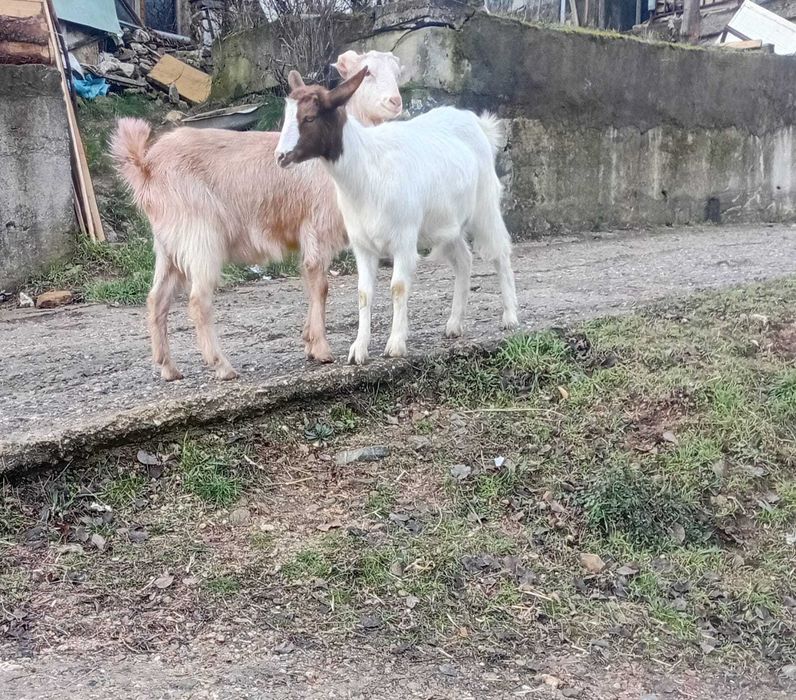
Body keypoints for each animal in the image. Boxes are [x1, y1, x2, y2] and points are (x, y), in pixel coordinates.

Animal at [111, 51, 403, 381]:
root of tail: (145, 165)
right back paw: (222, 366)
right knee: (198, 300)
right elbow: (320, 283)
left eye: (397, 72)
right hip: (200, 237)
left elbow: (310, 282)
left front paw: (308, 341)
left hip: (169, 245)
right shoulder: (316, 227)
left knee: (157, 298)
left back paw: (169, 368)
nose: (395, 101)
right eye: (366, 73)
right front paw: (322, 349)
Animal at [275, 69, 518, 365]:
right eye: (287, 115)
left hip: (484, 205)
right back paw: (454, 324)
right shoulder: (362, 245)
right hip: (443, 223)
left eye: (309, 117)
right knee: (464, 259)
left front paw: (395, 344)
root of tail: (478, 124)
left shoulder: (403, 238)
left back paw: (510, 317)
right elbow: (363, 293)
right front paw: (359, 349)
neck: (366, 170)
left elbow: (398, 287)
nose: (281, 156)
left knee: (499, 251)